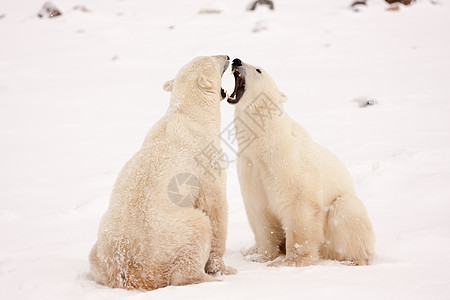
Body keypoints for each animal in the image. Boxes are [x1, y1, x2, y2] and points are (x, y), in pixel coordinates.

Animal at [88, 55, 236, 290]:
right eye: (214, 58)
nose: (227, 56)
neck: (188, 114)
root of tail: (130, 272)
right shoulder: (206, 161)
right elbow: (215, 208)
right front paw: (222, 268)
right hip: (174, 235)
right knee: (197, 232)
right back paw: (207, 278)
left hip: (101, 248)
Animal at [227, 57, 374, 266]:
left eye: (258, 70)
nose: (236, 60)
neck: (266, 141)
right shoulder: (250, 167)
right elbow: (261, 212)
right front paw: (261, 256)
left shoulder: (288, 162)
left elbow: (300, 208)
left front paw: (290, 261)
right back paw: (248, 250)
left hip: (346, 209)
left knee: (346, 210)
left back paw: (353, 260)